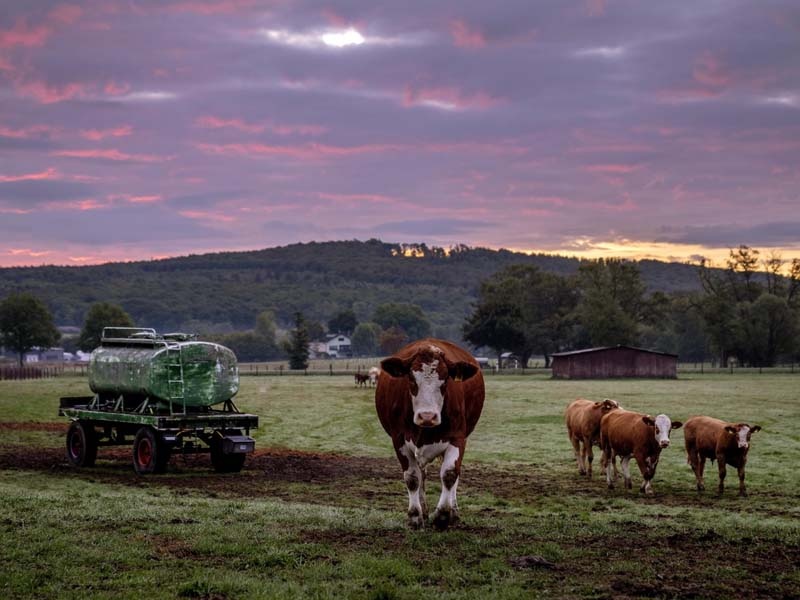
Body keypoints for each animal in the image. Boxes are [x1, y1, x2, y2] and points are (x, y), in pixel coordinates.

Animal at [375, 338, 485, 530]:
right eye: (411, 379)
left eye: (445, 380)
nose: (427, 416)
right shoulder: (399, 439)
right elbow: (412, 478)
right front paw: (415, 516)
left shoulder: (458, 438)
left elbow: (450, 474)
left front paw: (443, 515)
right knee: (421, 475)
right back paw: (424, 511)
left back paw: (454, 512)